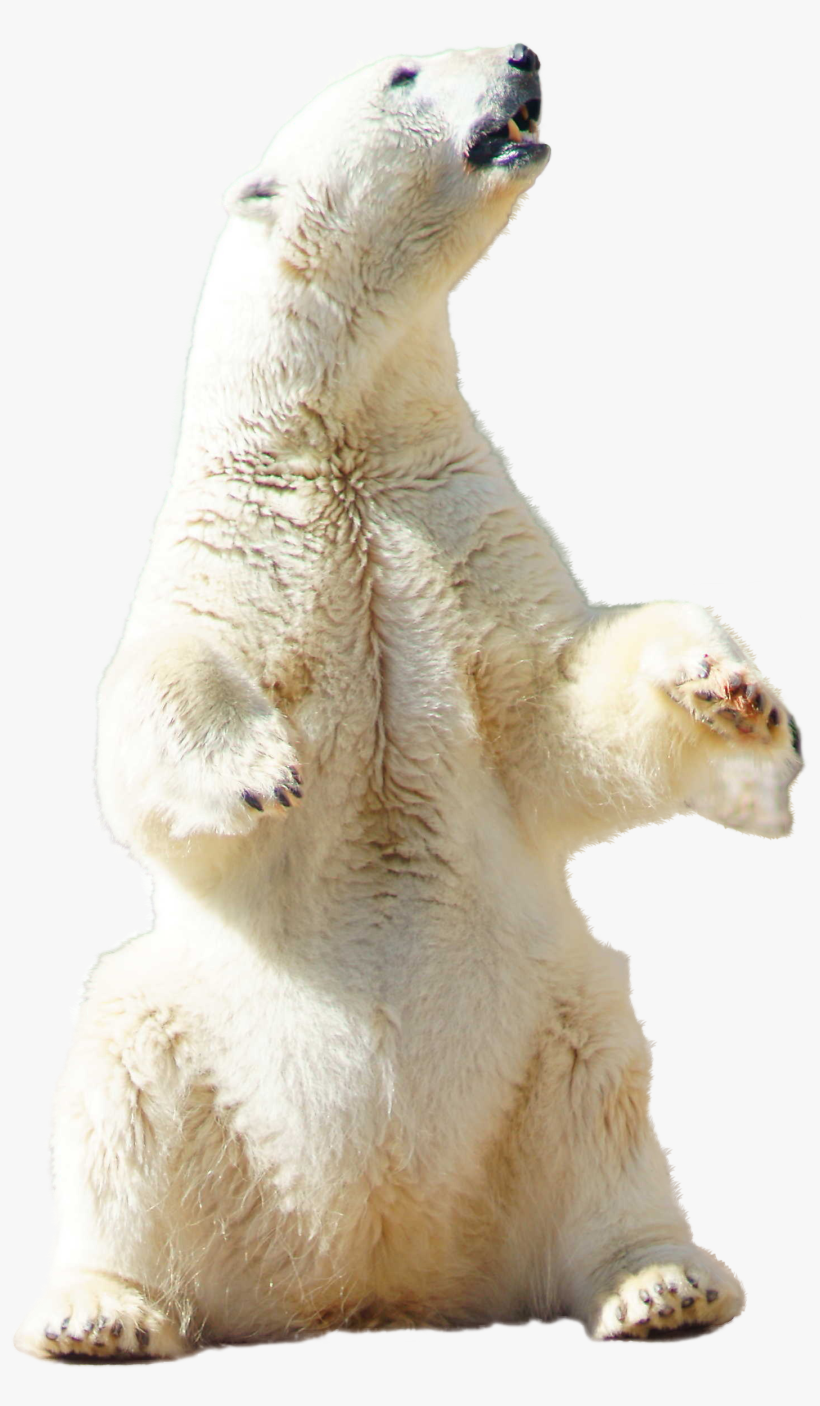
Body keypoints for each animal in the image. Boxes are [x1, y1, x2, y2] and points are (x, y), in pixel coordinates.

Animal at [15, 42, 802, 1358]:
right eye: (401, 70)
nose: (526, 51)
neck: (343, 435)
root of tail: (378, 1275)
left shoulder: (456, 519)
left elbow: (554, 705)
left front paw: (736, 696)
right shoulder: (247, 538)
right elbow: (160, 691)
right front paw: (259, 770)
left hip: (553, 1030)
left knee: (608, 1099)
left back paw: (660, 1282)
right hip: (186, 1046)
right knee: (120, 1079)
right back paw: (100, 1309)